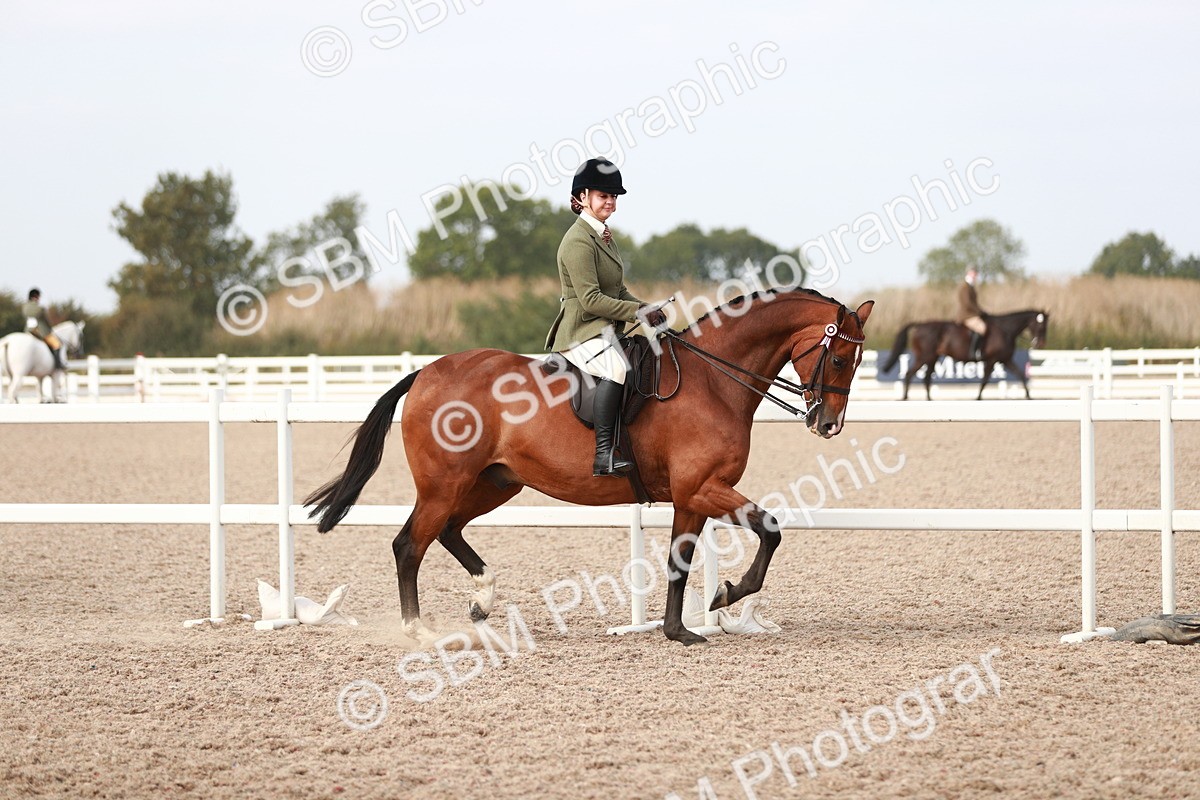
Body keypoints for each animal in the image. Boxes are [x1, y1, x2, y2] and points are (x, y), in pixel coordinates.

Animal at [305, 289, 875, 646]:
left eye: (857, 362)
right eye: (839, 359)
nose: (829, 424)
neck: (714, 380)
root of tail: (425, 372)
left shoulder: (691, 496)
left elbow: (679, 560)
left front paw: (679, 631)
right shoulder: (703, 487)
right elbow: (771, 528)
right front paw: (725, 594)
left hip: (494, 484)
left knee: (447, 531)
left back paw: (482, 602)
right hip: (445, 483)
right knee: (409, 544)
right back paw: (420, 632)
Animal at [880, 309, 1048, 400]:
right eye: (1040, 325)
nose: (1040, 344)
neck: (1005, 330)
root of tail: (919, 324)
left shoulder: (1005, 359)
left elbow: (1021, 375)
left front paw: (1029, 397)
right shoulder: (992, 360)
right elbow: (985, 380)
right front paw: (978, 398)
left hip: (932, 358)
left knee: (926, 378)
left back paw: (929, 399)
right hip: (925, 356)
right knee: (910, 374)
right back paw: (905, 398)